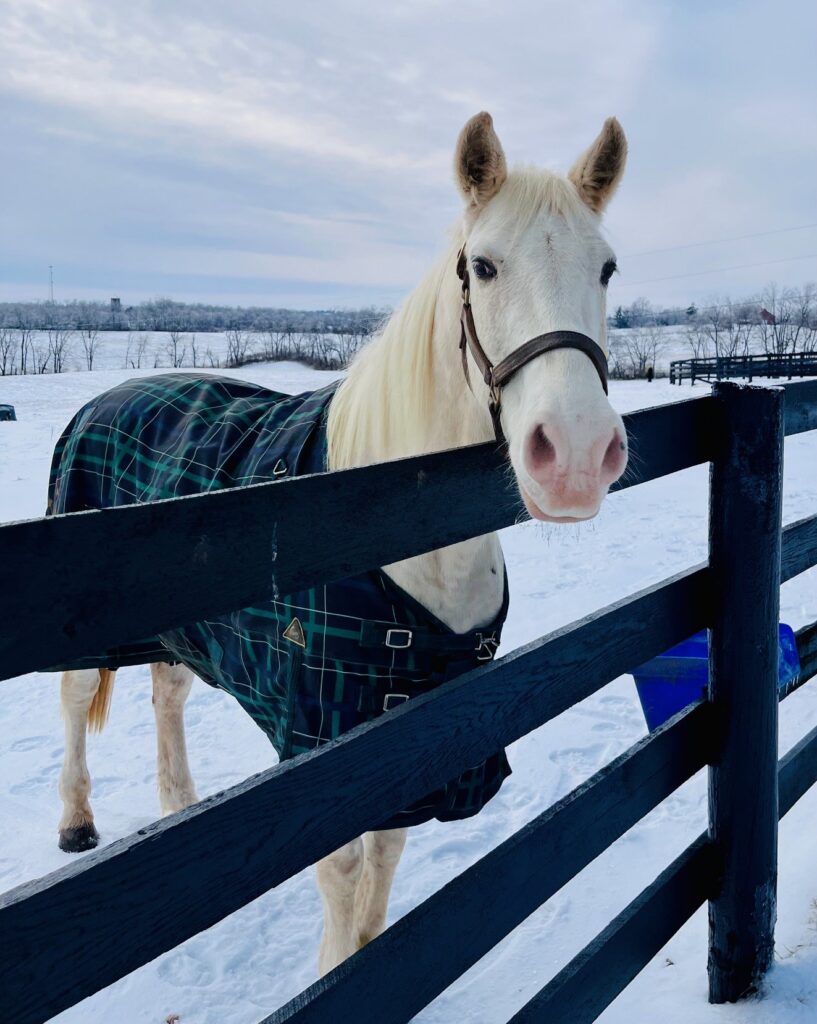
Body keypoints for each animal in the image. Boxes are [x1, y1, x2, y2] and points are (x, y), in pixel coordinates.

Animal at [52, 111, 628, 975]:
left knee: (167, 696)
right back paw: (76, 825)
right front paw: (334, 971)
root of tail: (108, 396)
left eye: (606, 270)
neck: (395, 545)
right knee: (75, 698)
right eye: (483, 266)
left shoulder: (410, 741)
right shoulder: (320, 755)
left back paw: (179, 803)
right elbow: (343, 873)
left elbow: (382, 865)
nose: (578, 457)